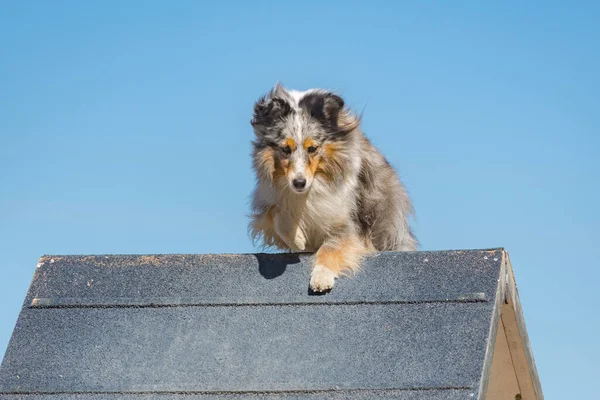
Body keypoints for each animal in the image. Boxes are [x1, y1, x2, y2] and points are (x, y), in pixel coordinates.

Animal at [250, 83, 418, 290]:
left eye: (312, 148)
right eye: (285, 149)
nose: (299, 183)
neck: (311, 188)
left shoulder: (347, 223)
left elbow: (330, 247)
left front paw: (321, 277)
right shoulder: (268, 201)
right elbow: (277, 216)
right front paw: (299, 240)